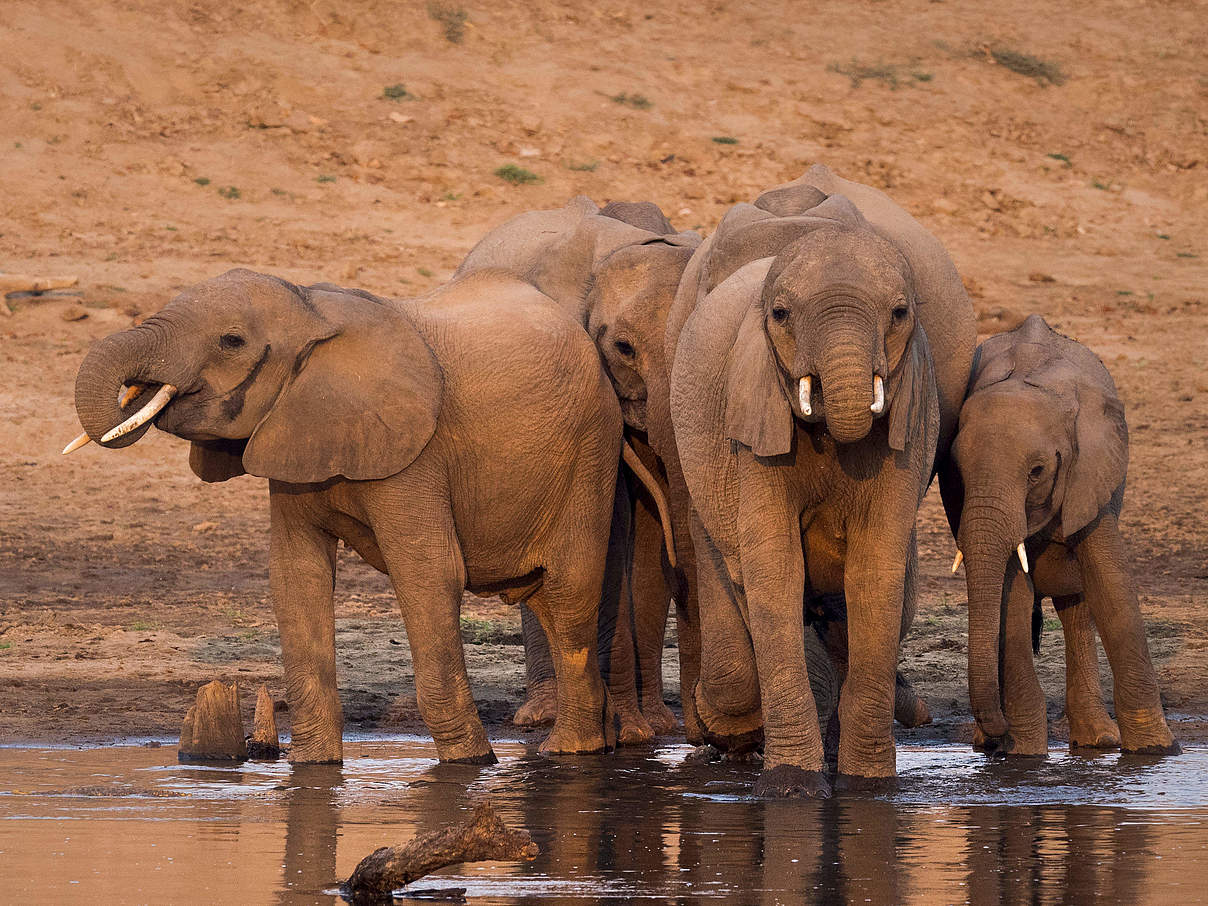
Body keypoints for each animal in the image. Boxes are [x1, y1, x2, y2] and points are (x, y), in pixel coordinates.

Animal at [67, 268, 661, 768]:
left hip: (590, 453)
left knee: (570, 591)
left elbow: (429, 575)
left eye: (231, 341)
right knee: (545, 600)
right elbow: (296, 579)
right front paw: (312, 769)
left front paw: (470, 766)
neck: (312, 311)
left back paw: (569, 753)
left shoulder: (416, 454)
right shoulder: (295, 433)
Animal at [456, 195, 705, 739]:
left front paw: (640, 731)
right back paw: (541, 716)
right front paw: (629, 733)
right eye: (624, 348)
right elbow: (610, 533)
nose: (703, 732)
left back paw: (658, 723)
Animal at [942, 316, 1179, 753]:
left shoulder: (1090, 472)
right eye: (957, 472)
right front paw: (1024, 755)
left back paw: (1098, 740)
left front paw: (1155, 750)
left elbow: (1111, 587)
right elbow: (1013, 596)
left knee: (1077, 602)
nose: (997, 735)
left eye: (1036, 471)